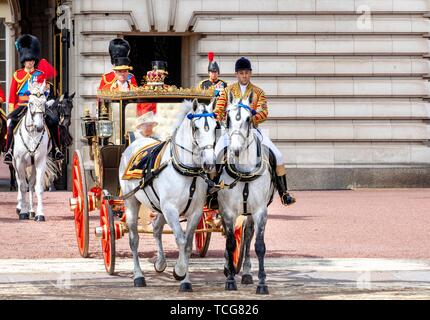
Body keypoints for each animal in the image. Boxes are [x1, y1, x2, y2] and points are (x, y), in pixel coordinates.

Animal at [13, 80, 56, 221]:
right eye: (30, 102)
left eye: (44, 102)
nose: (39, 127)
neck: (32, 133)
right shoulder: (20, 162)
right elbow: (22, 186)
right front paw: (23, 212)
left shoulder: (40, 161)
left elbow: (38, 187)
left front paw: (39, 214)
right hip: (15, 163)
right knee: (20, 183)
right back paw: (20, 207)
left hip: (32, 165)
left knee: (31, 184)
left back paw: (31, 211)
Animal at [118, 99, 217, 292]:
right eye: (196, 128)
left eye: (217, 126)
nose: (209, 164)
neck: (187, 172)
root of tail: (136, 142)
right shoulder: (170, 209)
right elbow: (180, 239)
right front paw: (179, 270)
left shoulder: (195, 212)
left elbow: (187, 244)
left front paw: (185, 280)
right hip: (132, 202)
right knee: (134, 239)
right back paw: (138, 276)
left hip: (159, 206)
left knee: (156, 228)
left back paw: (160, 262)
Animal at [217, 92, 274, 296]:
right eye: (227, 117)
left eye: (249, 119)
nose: (235, 150)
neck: (244, 171)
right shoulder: (227, 211)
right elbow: (230, 243)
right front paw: (230, 279)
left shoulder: (260, 212)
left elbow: (259, 246)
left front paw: (262, 283)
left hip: (249, 213)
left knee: (248, 236)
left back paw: (248, 273)